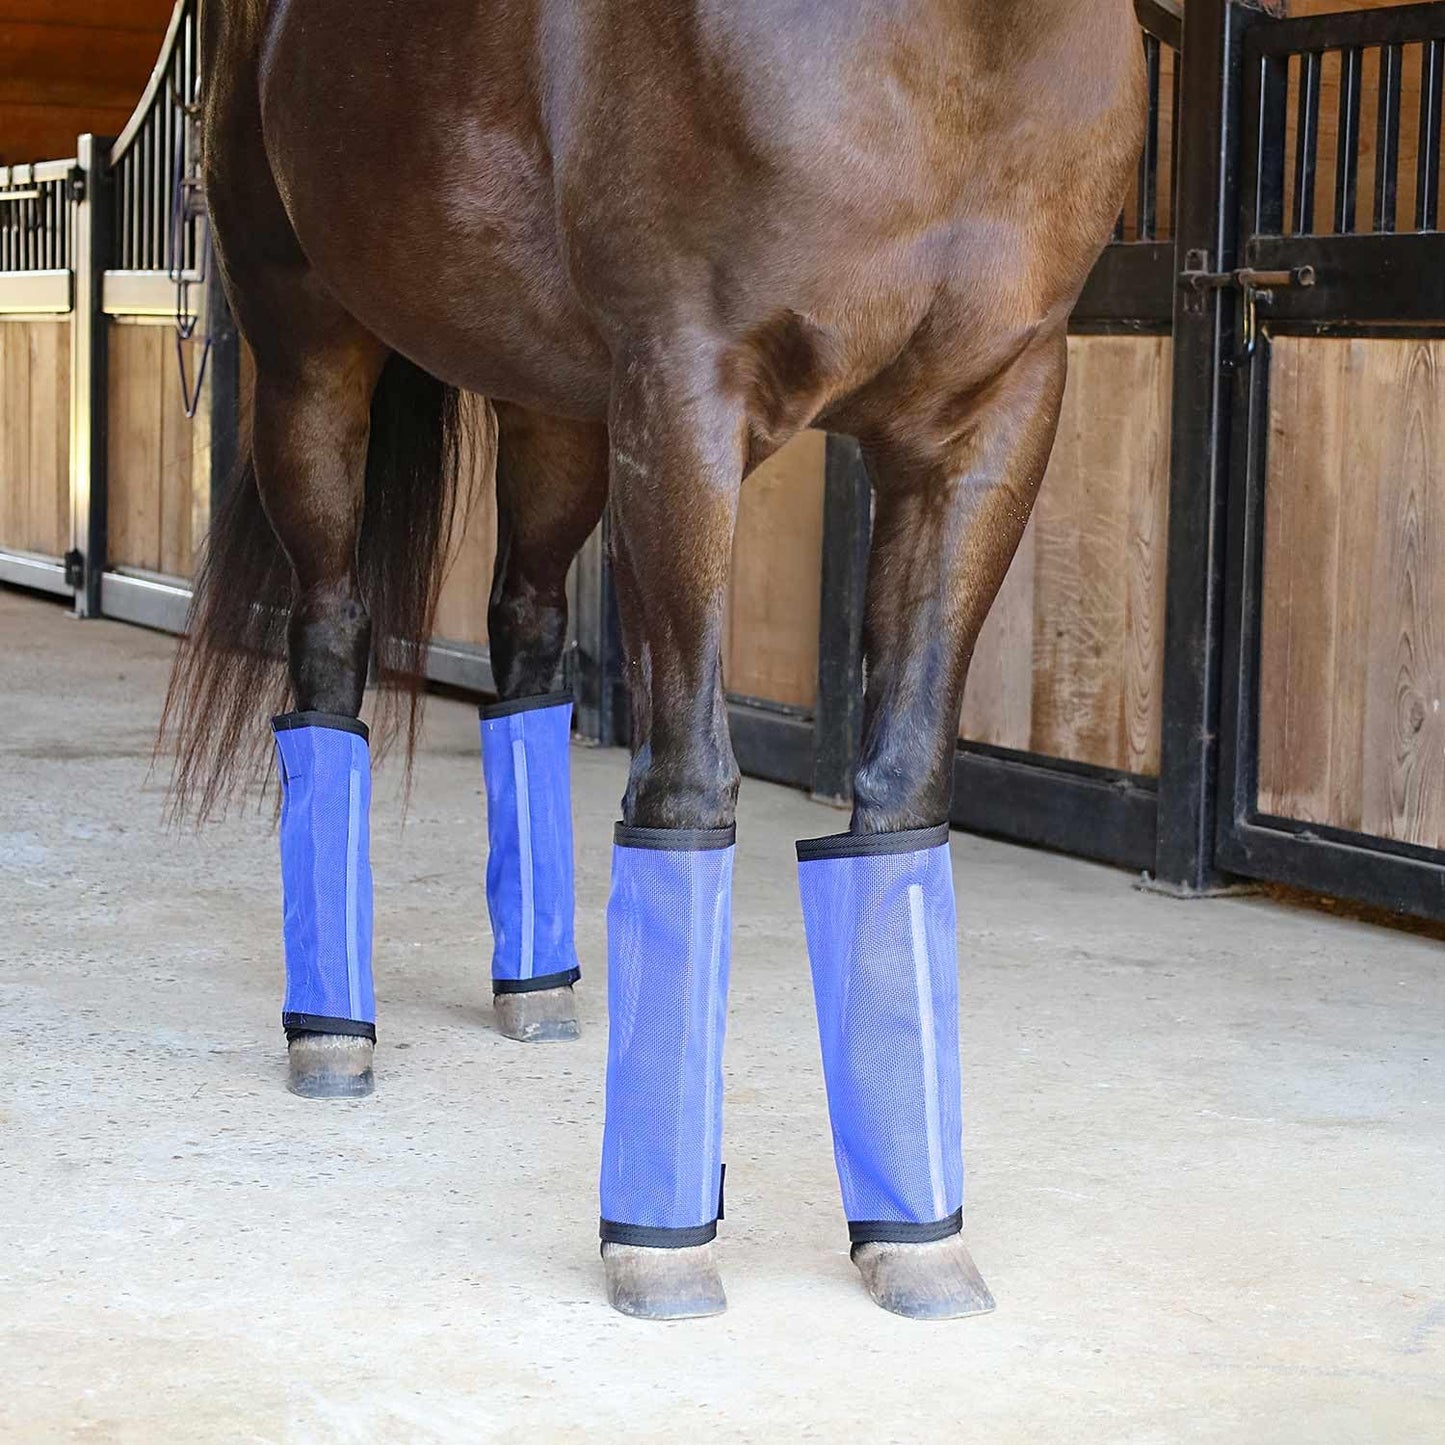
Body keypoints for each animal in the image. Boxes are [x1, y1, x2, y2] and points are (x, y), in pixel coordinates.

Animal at [167, 0, 1145, 1321]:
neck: (951, 58)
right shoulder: (685, 399)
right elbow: (684, 784)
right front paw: (662, 1242)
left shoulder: (987, 418)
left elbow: (899, 792)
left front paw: (914, 1237)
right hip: (311, 360)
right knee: (327, 650)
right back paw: (332, 1033)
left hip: (554, 410)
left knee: (526, 637)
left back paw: (537, 990)